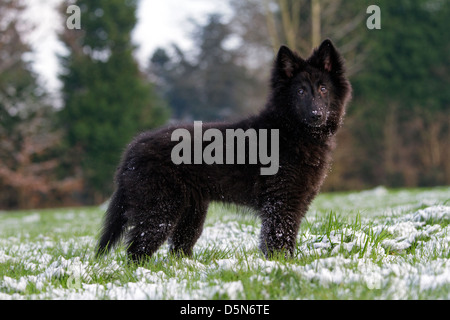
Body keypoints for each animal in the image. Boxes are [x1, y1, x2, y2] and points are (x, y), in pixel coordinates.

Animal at [96, 38, 352, 262]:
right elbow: (279, 239)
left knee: (178, 248)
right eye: (300, 92)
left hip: (191, 211)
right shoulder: (281, 201)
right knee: (137, 250)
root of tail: (133, 148)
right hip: (159, 208)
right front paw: (282, 265)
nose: (316, 115)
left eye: (323, 88)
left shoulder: (295, 200)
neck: (291, 131)